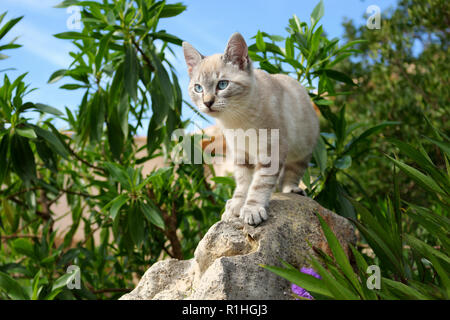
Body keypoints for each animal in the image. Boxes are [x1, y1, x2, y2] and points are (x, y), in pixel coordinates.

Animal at [181, 32, 318, 225]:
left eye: (222, 85)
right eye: (198, 88)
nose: (207, 103)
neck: (236, 120)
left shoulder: (271, 152)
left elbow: (259, 185)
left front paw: (252, 209)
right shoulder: (240, 155)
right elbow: (243, 185)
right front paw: (237, 206)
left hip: (302, 148)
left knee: (292, 173)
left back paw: (291, 189)